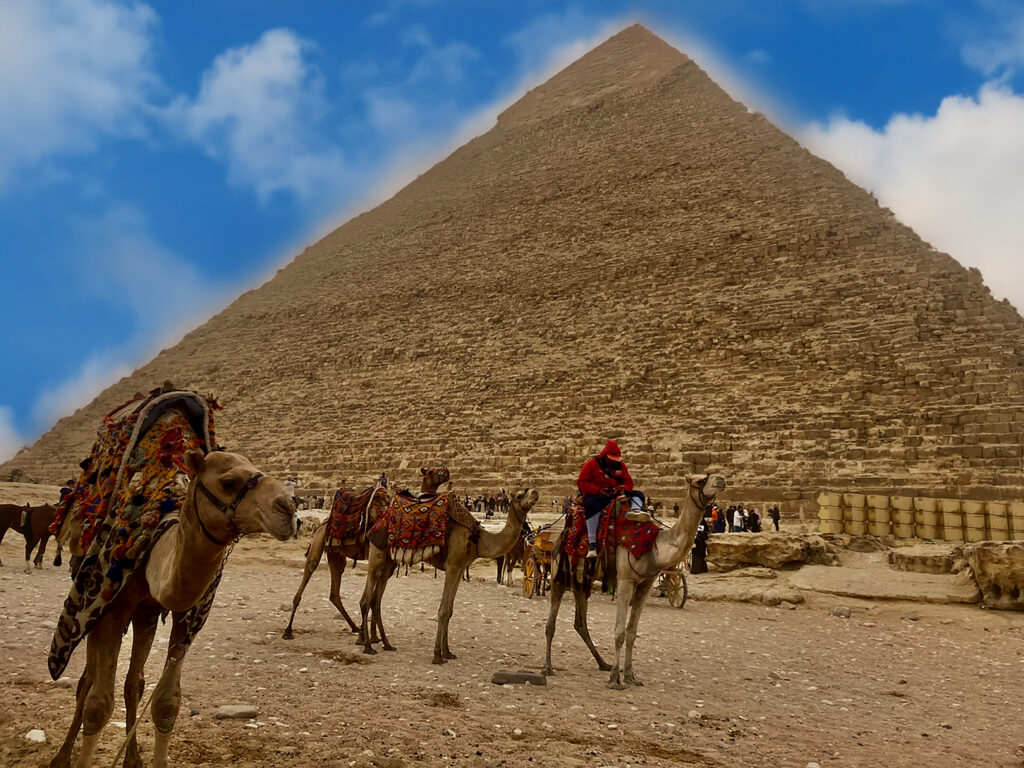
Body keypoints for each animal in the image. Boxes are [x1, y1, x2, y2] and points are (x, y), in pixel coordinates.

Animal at [50, 450, 296, 768]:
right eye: (228, 482)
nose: (288, 509)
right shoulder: (111, 609)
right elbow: (97, 706)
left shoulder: (183, 615)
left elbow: (166, 704)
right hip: (93, 609)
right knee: (87, 681)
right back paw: (62, 757)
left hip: (145, 615)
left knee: (134, 683)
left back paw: (132, 759)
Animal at [282, 483, 389, 638]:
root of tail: (323, 523)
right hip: (319, 542)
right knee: (310, 568)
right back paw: (288, 630)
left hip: (336, 554)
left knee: (334, 592)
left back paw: (355, 627)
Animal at [356, 473, 540, 663]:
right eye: (520, 495)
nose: (535, 492)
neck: (478, 538)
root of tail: (377, 521)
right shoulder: (452, 565)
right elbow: (443, 610)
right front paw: (437, 655)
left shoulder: (460, 568)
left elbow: (450, 610)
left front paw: (448, 652)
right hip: (377, 554)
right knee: (365, 599)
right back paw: (368, 646)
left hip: (388, 563)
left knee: (376, 601)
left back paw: (387, 644)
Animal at [544, 475, 729, 692]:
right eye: (699, 480)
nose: (721, 479)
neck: (654, 547)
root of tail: (559, 539)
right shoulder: (626, 580)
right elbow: (619, 632)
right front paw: (615, 679)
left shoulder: (645, 584)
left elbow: (632, 632)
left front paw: (630, 675)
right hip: (559, 572)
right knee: (551, 623)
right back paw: (547, 667)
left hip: (582, 581)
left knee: (580, 623)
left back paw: (603, 663)